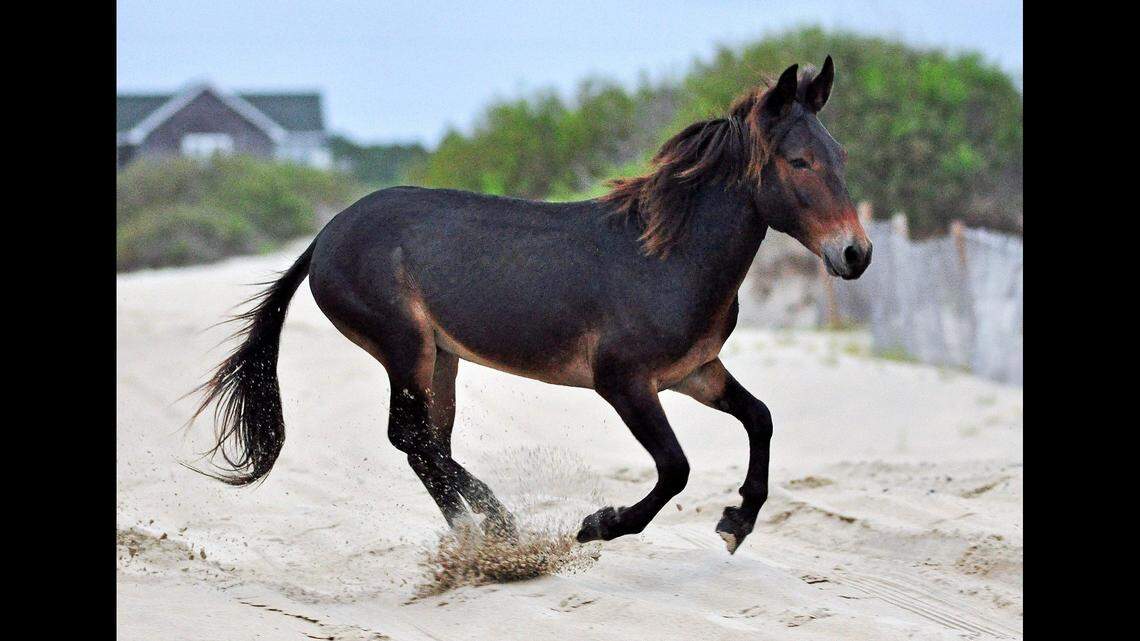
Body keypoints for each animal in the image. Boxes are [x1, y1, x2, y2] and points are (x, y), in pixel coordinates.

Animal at [192, 57, 871, 554]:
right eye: (798, 162)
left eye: (839, 156)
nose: (855, 253)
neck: (666, 259)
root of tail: (325, 237)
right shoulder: (624, 383)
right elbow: (675, 467)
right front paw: (600, 524)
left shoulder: (694, 372)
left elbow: (760, 418)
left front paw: (736, 523)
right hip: (403, 348)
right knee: (411, 438)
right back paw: (497, 531)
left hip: (440, 357)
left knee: (427, 443)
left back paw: (487, 535)